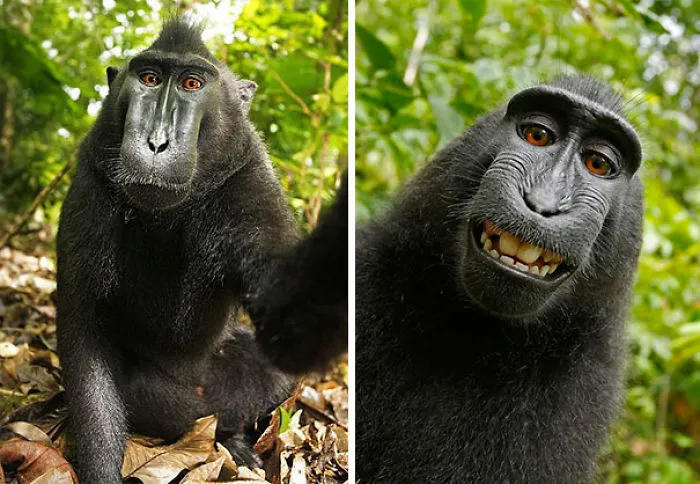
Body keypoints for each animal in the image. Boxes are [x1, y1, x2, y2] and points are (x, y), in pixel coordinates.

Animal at [56, 19, 347, 483]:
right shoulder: (90, 185)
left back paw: (234, 441)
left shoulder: (250, 183)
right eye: (149, 78)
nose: (157, 143)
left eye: (191, 84)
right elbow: (85, 337)